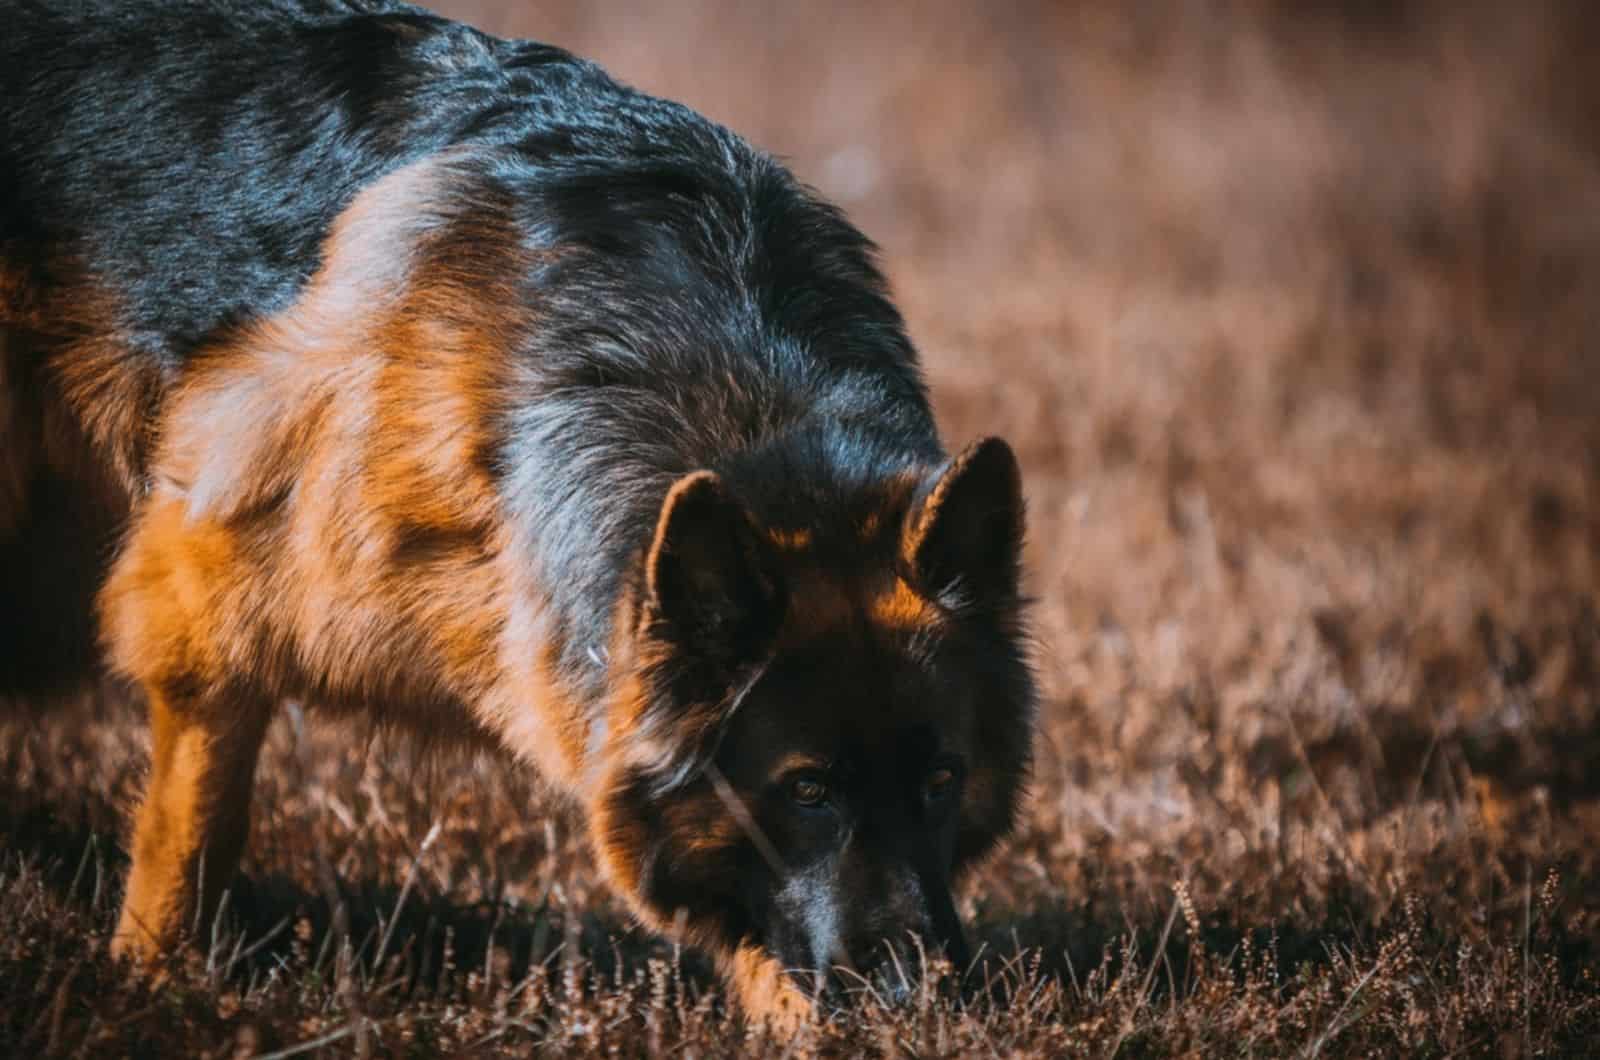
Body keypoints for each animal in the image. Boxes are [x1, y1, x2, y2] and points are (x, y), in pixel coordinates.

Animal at [0, 2, 1030, 1031]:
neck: (754, 414)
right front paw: (155, 980)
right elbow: (195, 822)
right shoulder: (206, 592)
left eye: (943, 781)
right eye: (808, 789)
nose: (922, 1002)